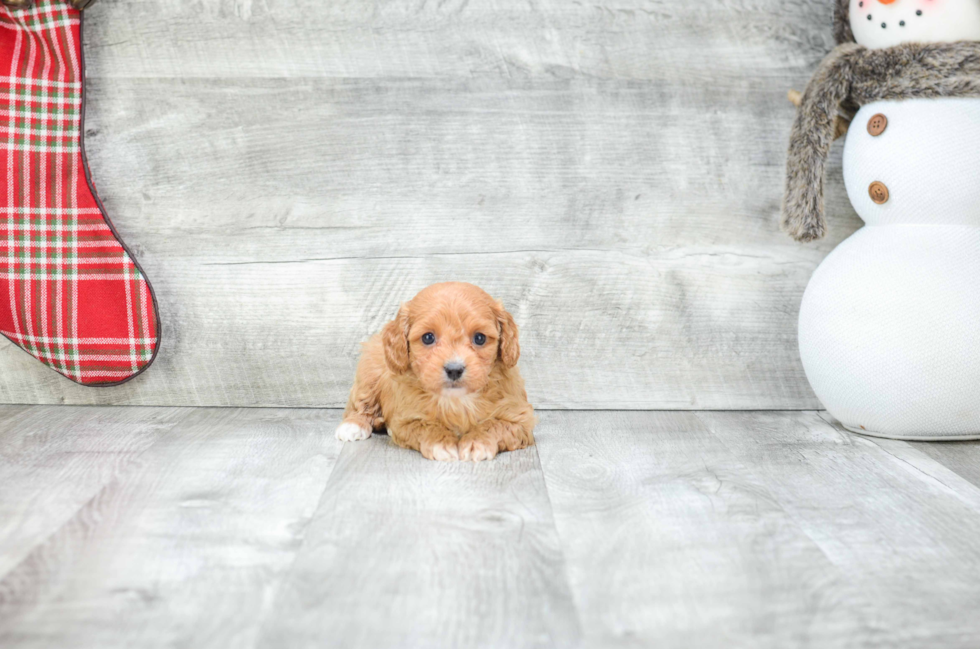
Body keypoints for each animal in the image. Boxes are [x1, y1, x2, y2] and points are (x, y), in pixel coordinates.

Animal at [334, 280, 536, 458]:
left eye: (480, 338)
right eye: (428, 337)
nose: (454, 369)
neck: (456, 400)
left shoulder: (520, 418)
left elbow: (495, 425)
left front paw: (477, 442)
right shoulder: (406, 417)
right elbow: (426, 427)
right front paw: (441, 443)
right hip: (370, 369)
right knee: (360, 403)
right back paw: (353, 425)